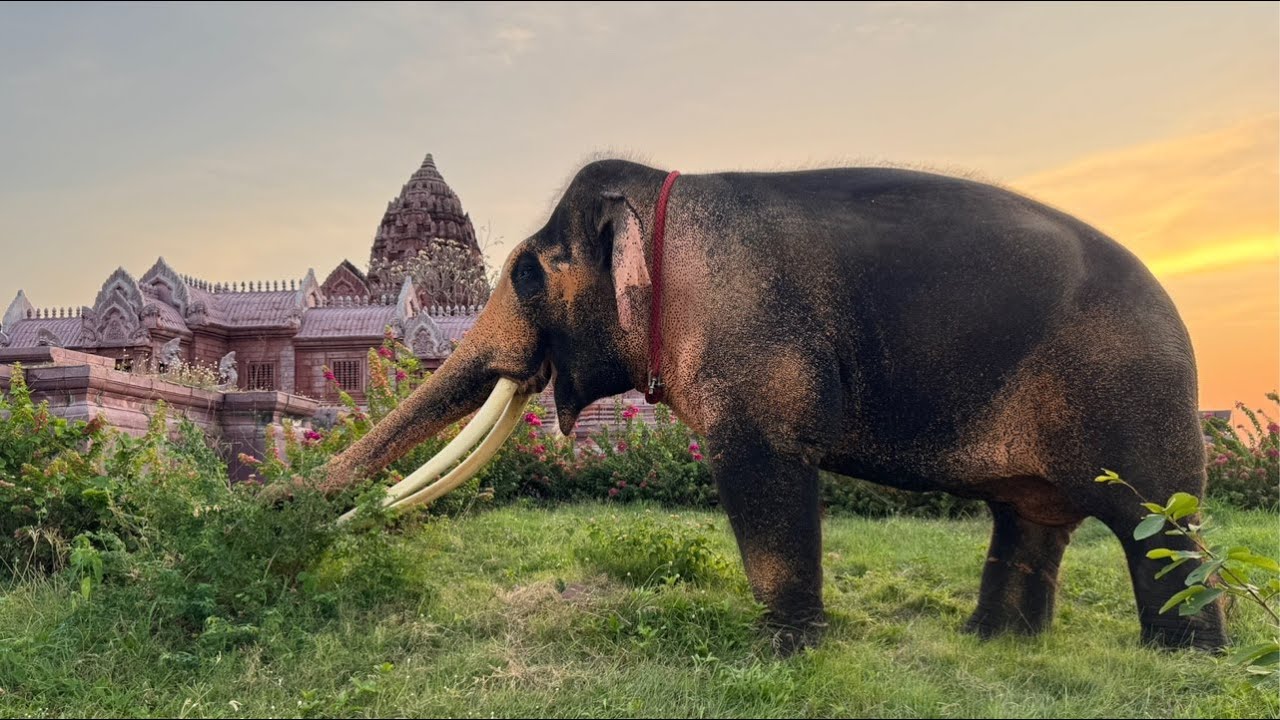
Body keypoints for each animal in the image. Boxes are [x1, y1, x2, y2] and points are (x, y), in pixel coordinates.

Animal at [321, 159, 1227, 654]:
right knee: (1030, 519)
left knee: (1156, 525)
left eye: (525, 275)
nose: (297, 532)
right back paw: (993, 645)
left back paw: (1184, 661)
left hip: (1138, 403)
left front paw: (783, 651)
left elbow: (764, 469)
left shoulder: (756, 352)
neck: (663, 201)